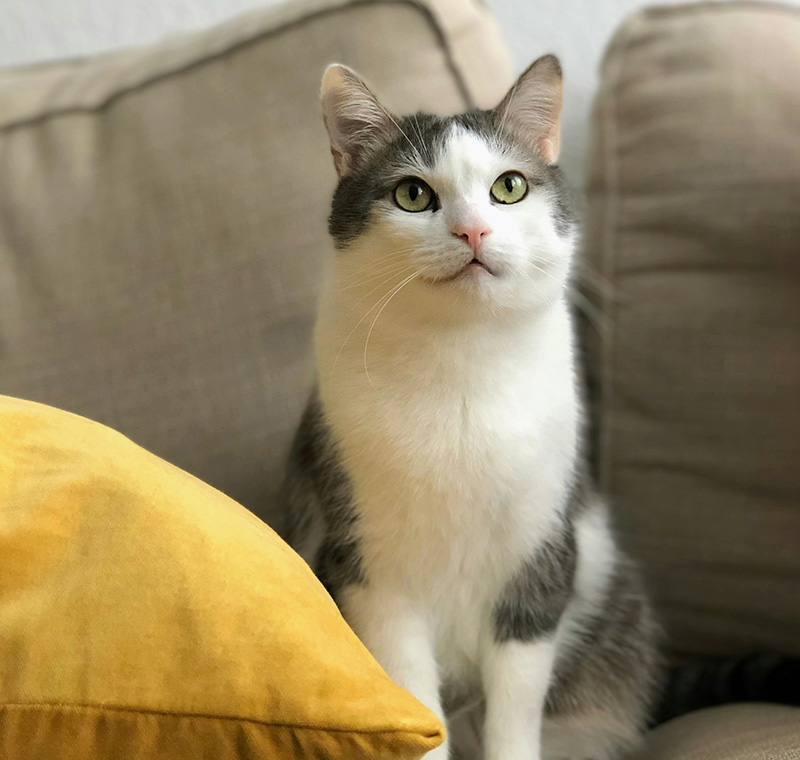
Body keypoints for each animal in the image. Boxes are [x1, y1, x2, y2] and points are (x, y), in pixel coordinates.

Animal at [278, 55, 660, 760]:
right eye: (412, 195)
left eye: (509, 187)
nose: (473, 230)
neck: (460, 366)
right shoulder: (371, 573)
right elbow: (414, 704)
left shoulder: (539, 561)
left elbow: (515, 709)